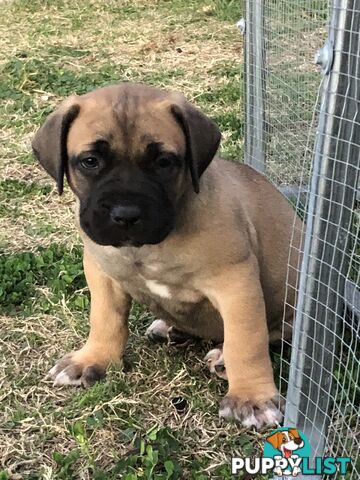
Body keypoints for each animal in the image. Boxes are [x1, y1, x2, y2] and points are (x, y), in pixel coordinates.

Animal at [32, 82, 302, 428]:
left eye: (164, 162)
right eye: (90, 161)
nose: (126, 214)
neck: (144, 247)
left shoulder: (236, 282)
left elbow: (245, 341)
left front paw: (251, 398)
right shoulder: (101, 272)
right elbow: (105, 319)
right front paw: (93, 359)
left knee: (267, 334)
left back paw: (222, 358)